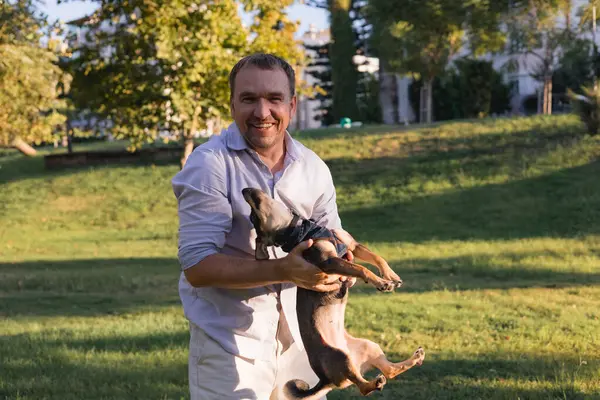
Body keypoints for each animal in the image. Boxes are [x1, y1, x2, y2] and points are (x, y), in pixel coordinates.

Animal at [241, 188, 424, 400]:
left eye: (252, 215)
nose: (244, 190)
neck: (301, 229)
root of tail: (326, 379)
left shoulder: (352, 245)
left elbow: (377, 258)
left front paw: (391, 276)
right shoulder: (330, 262)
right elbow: (361, 269)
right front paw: (381, 282)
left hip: (370, 346)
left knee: (390, 371)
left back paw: (415, 358)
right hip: (340, 356)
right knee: (363, 387)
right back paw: (376, 382)